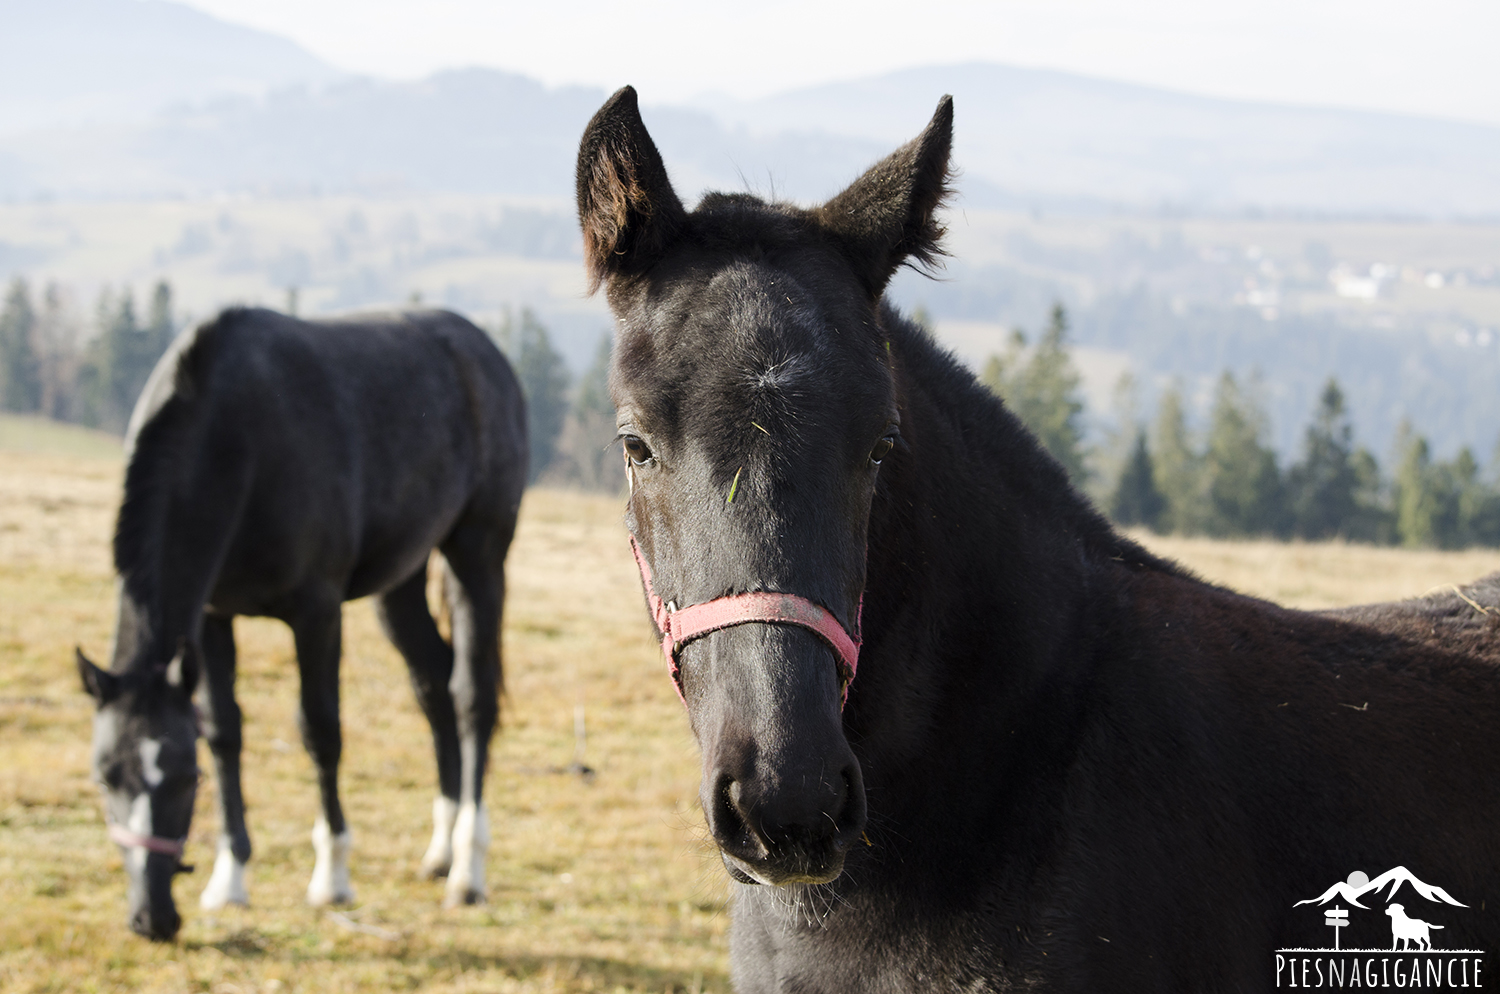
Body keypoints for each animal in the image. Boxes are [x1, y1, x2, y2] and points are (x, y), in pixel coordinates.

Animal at [82, 308, 531, 941]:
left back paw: (468, 867)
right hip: (400, 582)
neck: (238, 438)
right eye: (105, 779)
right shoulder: (213, 619)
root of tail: (481, 346)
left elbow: (320, 730)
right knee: (433, 685)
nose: (152, 918)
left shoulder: (316, 612)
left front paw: (332, 876)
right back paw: (441, 851)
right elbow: (224, 731)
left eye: (184, 779)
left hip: (478, 555)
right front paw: (230, 878)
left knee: (471, 697)